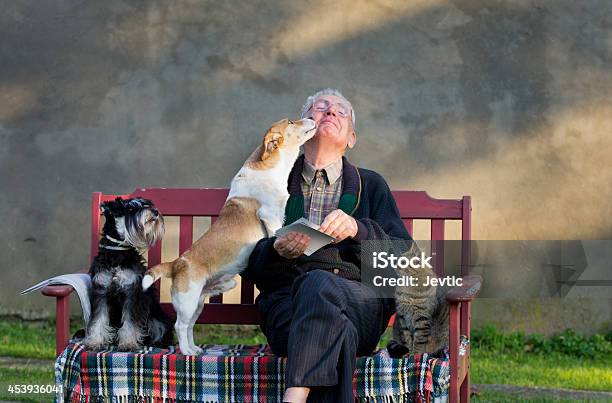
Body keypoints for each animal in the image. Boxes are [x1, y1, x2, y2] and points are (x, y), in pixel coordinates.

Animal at [82, 197, 173, 352]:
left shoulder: (132, 292)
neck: (116, 253)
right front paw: (95, 341)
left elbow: (130, 321)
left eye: (148, 203)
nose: (155, 212)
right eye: (130, 208)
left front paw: (128, 343)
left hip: (157, 318)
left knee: (159, 329)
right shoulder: (101, 291)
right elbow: (99, 319)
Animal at [142, 118, 316, 356]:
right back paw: (187, 352)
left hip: (199, 303)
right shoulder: (270, 217)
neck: (270, 169)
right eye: (291, 121)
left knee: (190, 326)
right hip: (187, 302)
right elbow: (275, 234)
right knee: (180, 325)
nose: (313, 119)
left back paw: (195, 348)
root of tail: (176, 263)